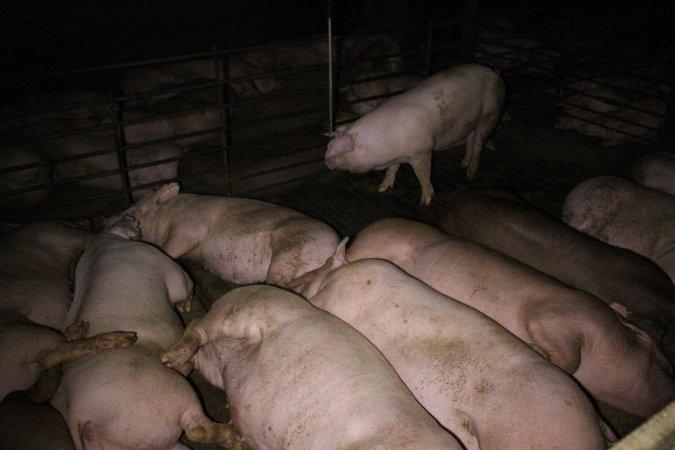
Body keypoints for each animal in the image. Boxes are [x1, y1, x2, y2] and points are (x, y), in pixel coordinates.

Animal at [104, 183, 344, 288]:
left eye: (131, 213)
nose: (105, 218)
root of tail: (334, 247)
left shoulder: (188, 228)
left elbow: (169, 250)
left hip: (291, 250)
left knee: (279, 282)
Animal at [324, 62, 504, 206]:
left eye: (336, 152)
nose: (325, 160)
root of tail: (494, 72)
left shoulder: (423, 152)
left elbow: (422, 175)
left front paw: (425, 202)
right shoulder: (396, 157)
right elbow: (392, 170)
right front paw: (381, 188)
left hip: (491, 114)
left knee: (479, 143)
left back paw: (470, 175)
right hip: (471, 123)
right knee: (470, 139)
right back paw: (462, 164)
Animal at [344, 218, 675, 418]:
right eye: (663, 364)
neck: (608, 336)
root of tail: (362, 234)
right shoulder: (559, 315)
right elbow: (568, 357)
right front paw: (535, 349)